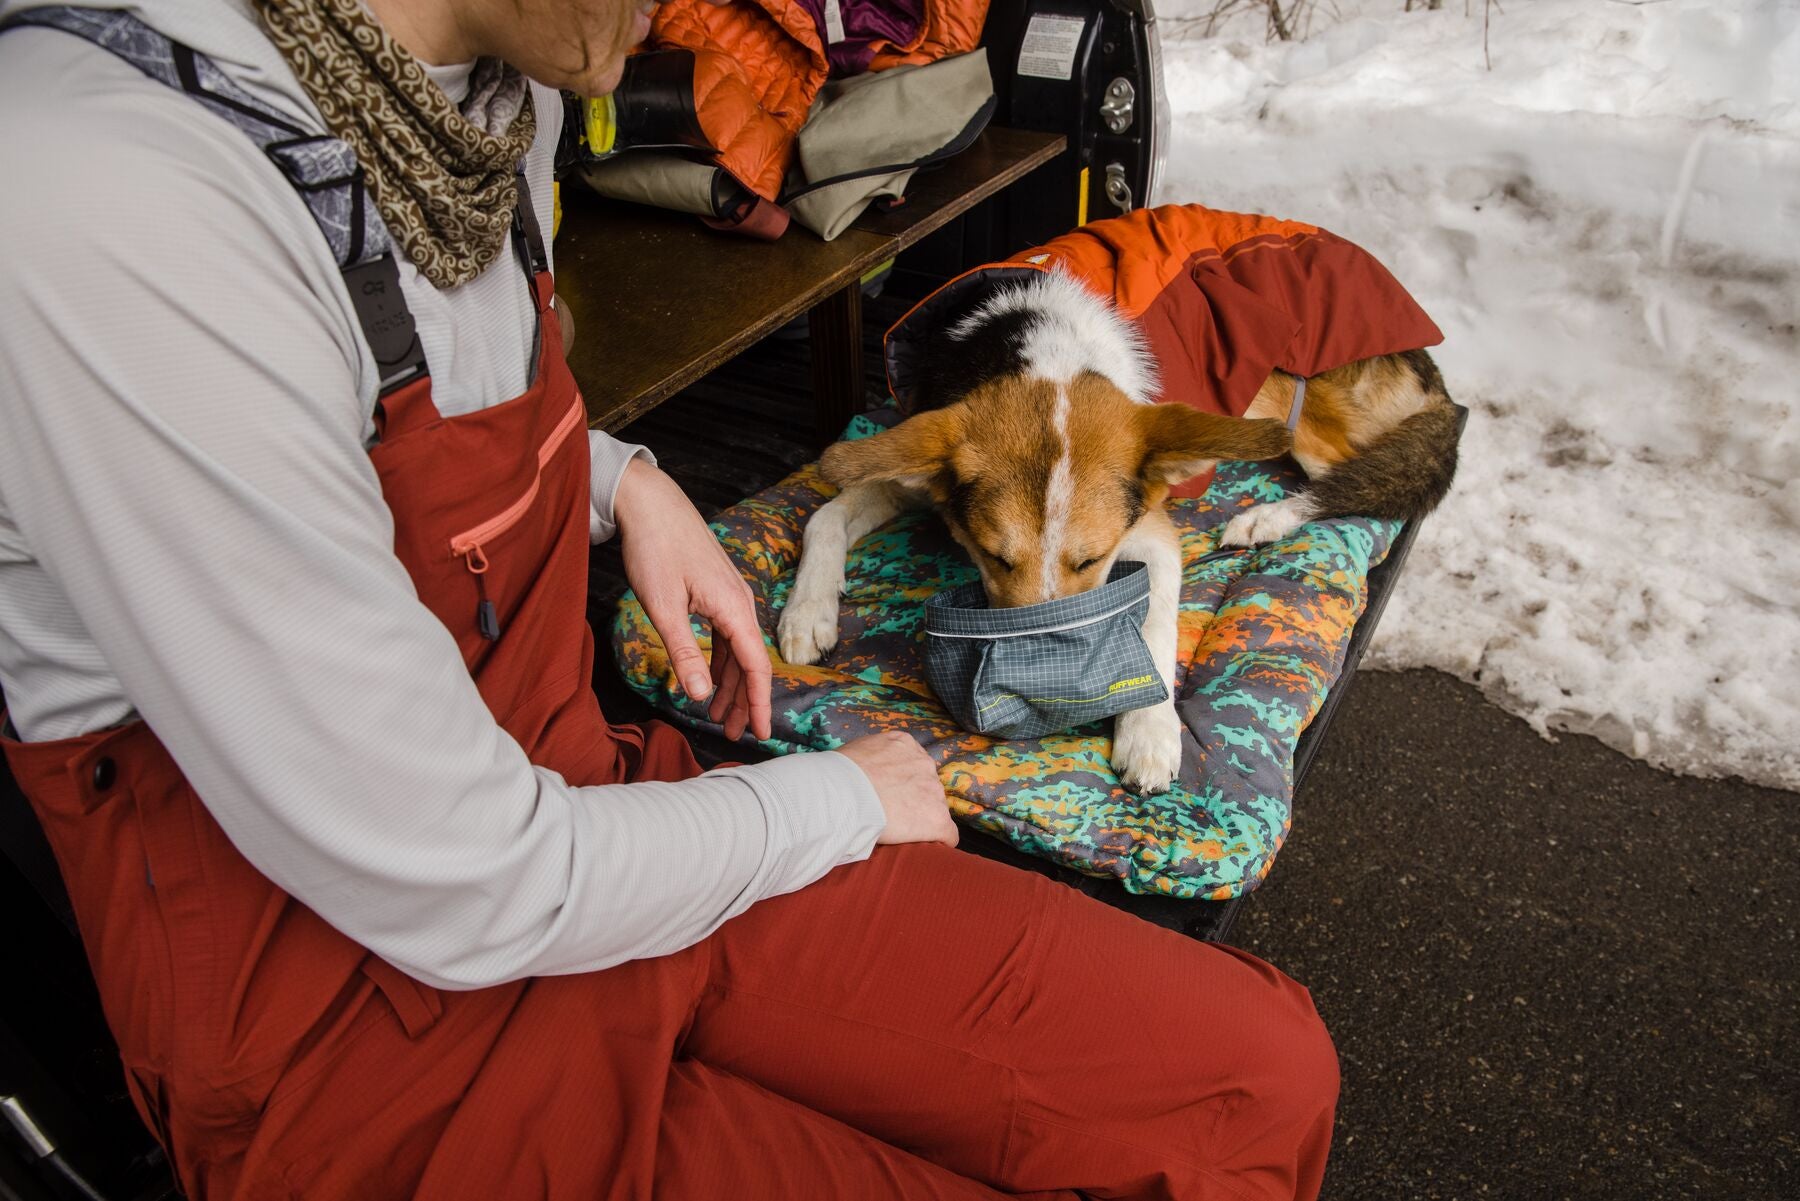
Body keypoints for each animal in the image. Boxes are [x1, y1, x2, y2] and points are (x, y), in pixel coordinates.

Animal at [781, 203, 1454, 792]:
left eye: (1090, 561)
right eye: (994, 558)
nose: (1041, 695)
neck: (1041, 348)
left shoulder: (1149, 529)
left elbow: (1155, 623)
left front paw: (1150, 734)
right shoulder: (920, 463)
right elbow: (824, 515)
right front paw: (806, 612)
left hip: (1302, 417)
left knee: (1371, 484)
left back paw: (1267, 517)